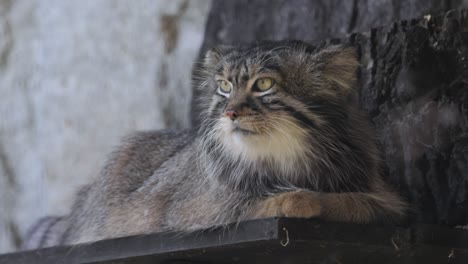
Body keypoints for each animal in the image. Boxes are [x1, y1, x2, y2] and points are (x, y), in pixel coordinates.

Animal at [22, 39, 404, 250]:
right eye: (224, 86)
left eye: (263, 84)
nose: (229, 112)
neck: (284, 157)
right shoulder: (187, 214)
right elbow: (250, 205)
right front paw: (295, 198)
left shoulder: (378, 190)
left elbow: (366, 203)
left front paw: (326, 199)